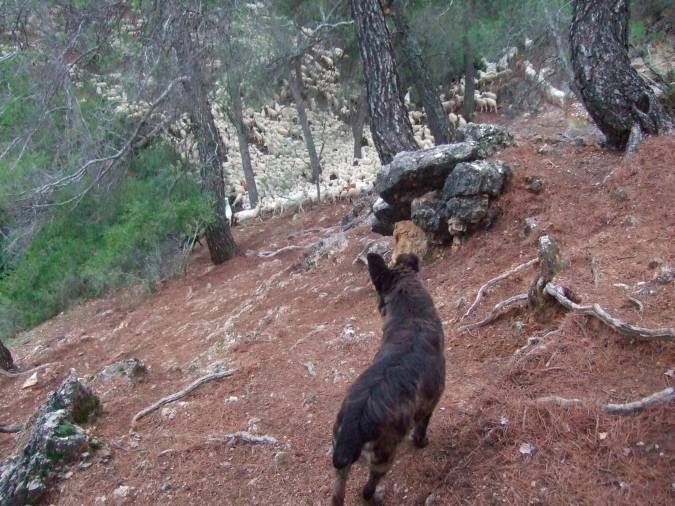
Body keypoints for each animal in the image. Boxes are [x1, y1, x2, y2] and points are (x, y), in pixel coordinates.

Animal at [332, 255, 446, 504]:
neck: (412, 319)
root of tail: (354, 424)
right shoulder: (429, 406)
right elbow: (421, 430)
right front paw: (421, 443)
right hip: (383, 459)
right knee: (367, 489)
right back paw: (375, 497)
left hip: (340, 468)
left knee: (337, 496)